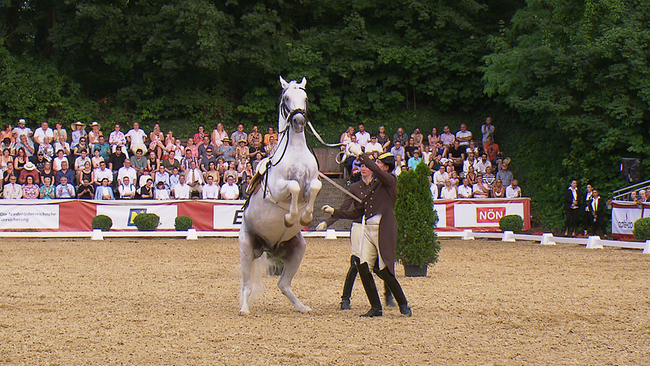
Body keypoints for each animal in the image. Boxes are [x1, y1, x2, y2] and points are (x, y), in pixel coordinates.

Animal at [237, 76, 320, 316]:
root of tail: (267, 246)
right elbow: (293, 187)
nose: (299, 121)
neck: (295, 151)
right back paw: (244, 309)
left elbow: (314, 186)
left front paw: (305, 216)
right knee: (246, 285)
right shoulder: (277, 188)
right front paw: (291, 218)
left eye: (305, 97)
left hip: (297, 249)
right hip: (246, 248)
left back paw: (302, 307)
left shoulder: (312, 183)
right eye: (286, 98)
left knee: (283, 284)